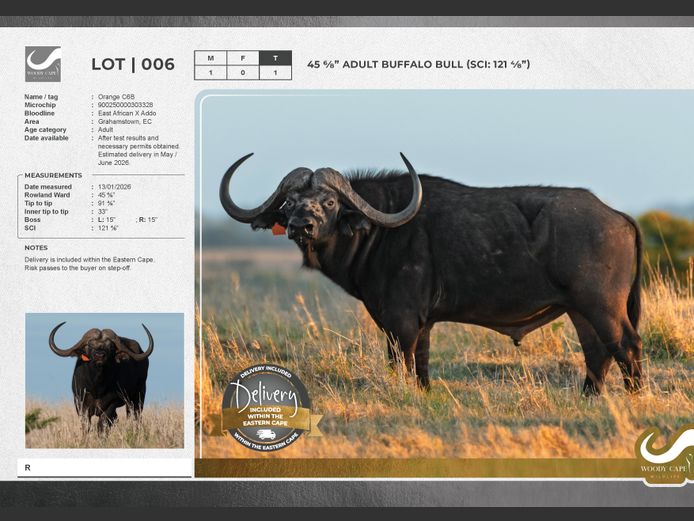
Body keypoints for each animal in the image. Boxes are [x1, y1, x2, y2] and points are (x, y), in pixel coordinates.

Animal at [219, 153, 643, 395]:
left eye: (328, 201)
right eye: (289, 202)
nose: (301, 226)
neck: (380, 231)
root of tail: (617, 216)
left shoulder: (401, 320)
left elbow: (400, 362)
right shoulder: (421, 323)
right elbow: (421, 364)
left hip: (602, 306)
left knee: (627, 345)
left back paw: (635, 394)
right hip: (579, 310)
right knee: (597, 352)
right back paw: (589, 395)